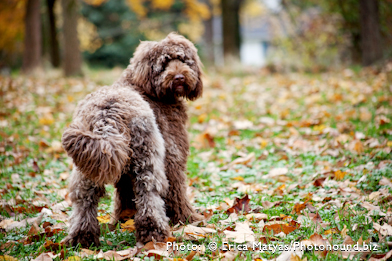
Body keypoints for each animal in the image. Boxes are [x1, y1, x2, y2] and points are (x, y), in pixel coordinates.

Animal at [62, 33, 204, 246]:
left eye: (183, 60)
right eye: (164, 63)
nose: (179, 77)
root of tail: (107, 114)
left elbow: (125, 195)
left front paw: (124, 219)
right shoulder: (173, 158)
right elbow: (177, 192)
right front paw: (188, 219)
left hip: (89, 162)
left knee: (85, 199)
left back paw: (82, 239)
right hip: (147, 157)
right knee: (148, 192)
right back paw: (153, 233)